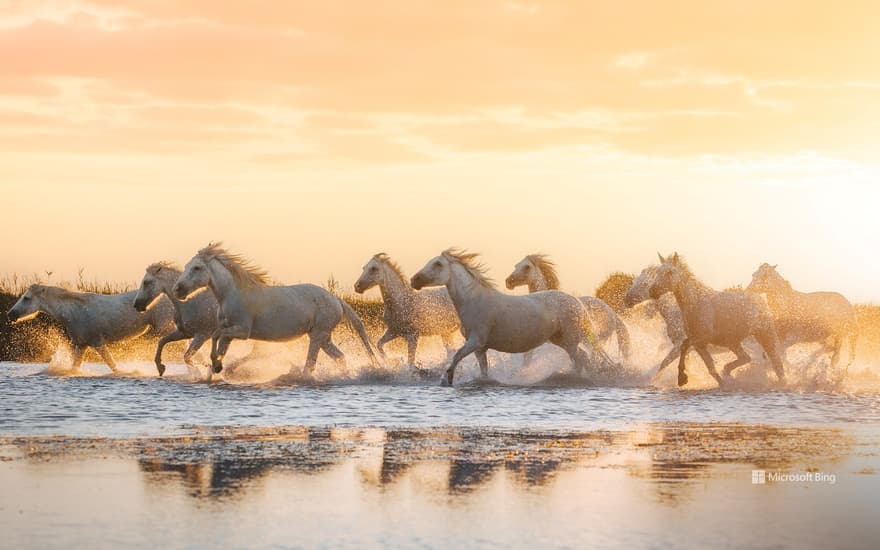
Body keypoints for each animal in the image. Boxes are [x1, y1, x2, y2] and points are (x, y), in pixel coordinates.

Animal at [6, 284, 174, 373]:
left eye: (26, 298)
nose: (10, 314)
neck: (74, 312)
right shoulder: (81, 345)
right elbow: (75, 367)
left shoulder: (97, 342)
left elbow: (112, 365)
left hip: (164, 327)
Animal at [172, 243, 379, 377]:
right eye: (187, 266)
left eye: (197, 267)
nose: (177, 290)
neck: (232, 293)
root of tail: (336, 299)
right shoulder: (230, 332)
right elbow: (219, 340)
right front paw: (216, 366)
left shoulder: (242, 331)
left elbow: (216, 335)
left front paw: (216, 364)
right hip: (323, 337)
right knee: (340, 358)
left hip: (318, 335)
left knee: (310, 366)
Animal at [410, 249, 597, 385]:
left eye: (438, 263)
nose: (414, 280)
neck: (474, 300)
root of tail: (577, 302)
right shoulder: (480, 348)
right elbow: (483, 371)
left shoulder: (475, 341)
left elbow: (456, 357)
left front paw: (446, 380)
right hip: (561, 340)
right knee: (583, 359)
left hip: (569, 341)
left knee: (582, 360)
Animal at [647, 253, 786, 387]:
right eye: (658, 272)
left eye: (669, 272)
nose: (652, 290)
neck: (696, 303)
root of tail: (760, 298)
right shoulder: (699, 344)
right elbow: (710, 367)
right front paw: (721, 382)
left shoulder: (701, 338)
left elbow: (684, 346)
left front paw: (682, 378)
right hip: (733, 342)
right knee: (746, 358)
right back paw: (728, 371)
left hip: (764, 335)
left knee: (776, 362)